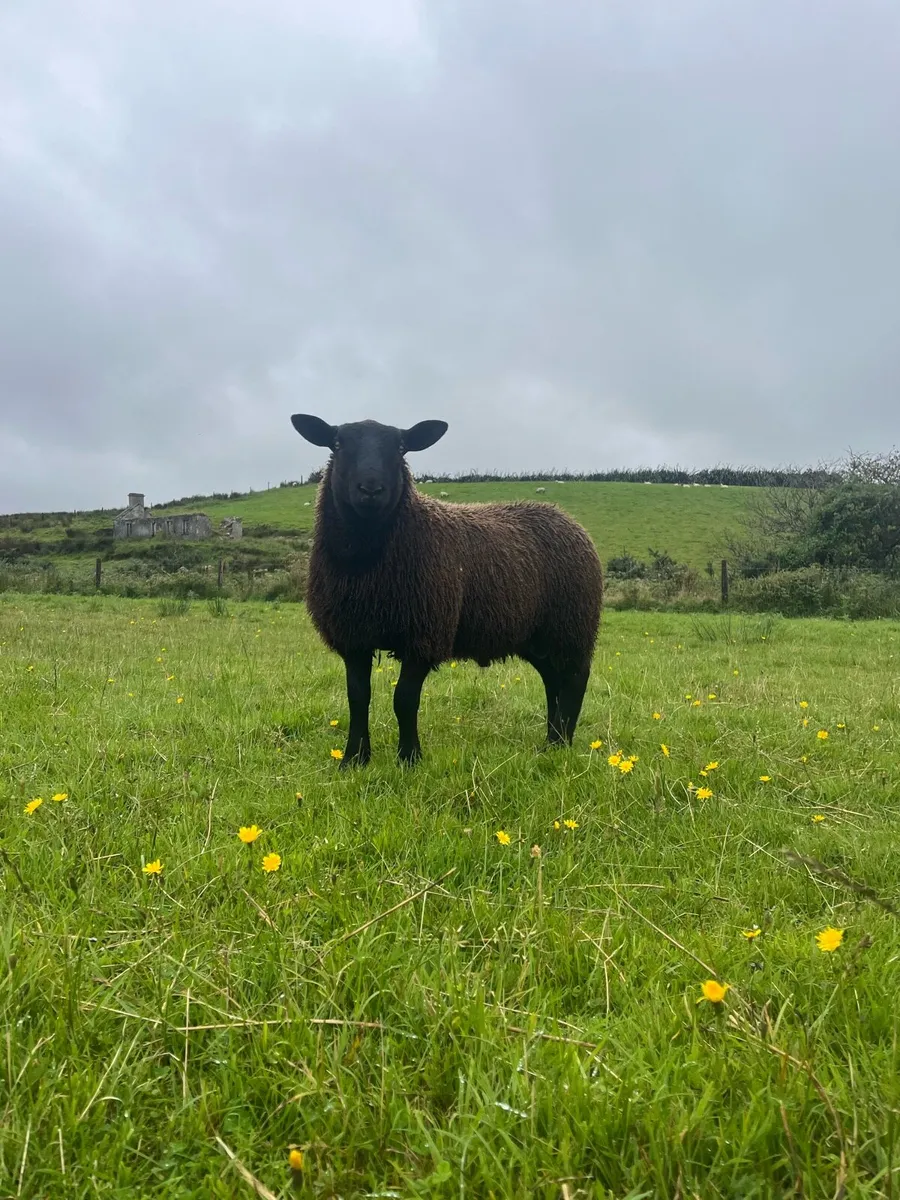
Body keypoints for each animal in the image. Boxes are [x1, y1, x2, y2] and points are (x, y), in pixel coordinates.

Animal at [290, 414, 603, 766]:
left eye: (401, 447)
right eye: (337, 443)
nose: (371, 489)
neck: (368, 566)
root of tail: (568, 519)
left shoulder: (424, 635)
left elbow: (404, 700)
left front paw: (409, 758)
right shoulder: (353, 638)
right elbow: (357, 698)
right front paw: (354, 760)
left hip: (571, 625)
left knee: (574, 679)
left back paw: (561, 743)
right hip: (536, 636)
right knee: (553, 680)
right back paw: (552, 743)